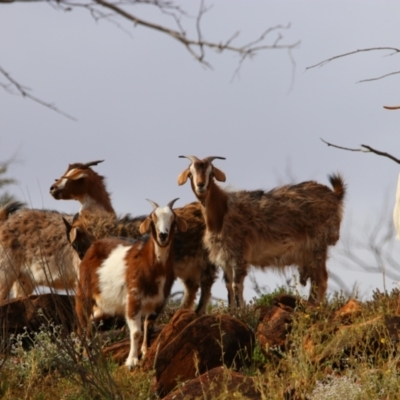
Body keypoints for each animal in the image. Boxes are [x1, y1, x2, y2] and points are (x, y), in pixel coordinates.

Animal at [53, 161, 217, 314]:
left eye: (76, 244)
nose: (53, 188)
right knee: (192, 287)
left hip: (205, 260)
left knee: (206, 284)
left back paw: (198, 311)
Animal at [76, 198, 187, 368]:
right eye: (153, 218)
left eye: (172, 218)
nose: (162, 235)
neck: (153, 266)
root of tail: (91, 249)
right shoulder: (133, 299)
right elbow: (136, 332)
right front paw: (132, 361)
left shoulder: (158, 303)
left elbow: (148, 327)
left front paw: (146, 352)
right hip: (84, 296)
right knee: (81, 327)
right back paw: (79, 360)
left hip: (103, 307)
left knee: (90, 328)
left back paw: (90, 357)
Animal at [178, 155, 346, 308]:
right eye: (191, 173)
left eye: (211, 172)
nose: (200, 185)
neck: (221, 213)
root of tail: (335, 196)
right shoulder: (224, 258)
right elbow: (228, 287)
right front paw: (231, 312)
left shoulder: (239, 254)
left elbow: (236, 285)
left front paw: (242, 311)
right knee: (316, 280)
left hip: (318, 245)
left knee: (322, 279)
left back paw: (314, 306)